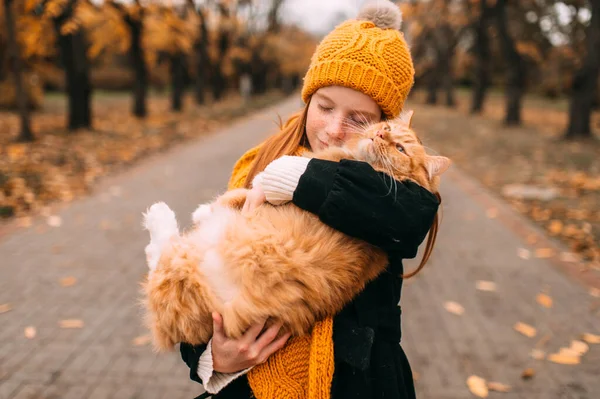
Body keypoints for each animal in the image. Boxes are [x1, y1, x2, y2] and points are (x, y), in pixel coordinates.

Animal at [142, 111, 450, 350]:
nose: (382, 135)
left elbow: (261, 185)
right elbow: (243, 193)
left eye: (400, 149)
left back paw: (158, 215)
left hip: (187, 264)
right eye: (387, 127)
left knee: (160, 254)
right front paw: (208, 208)